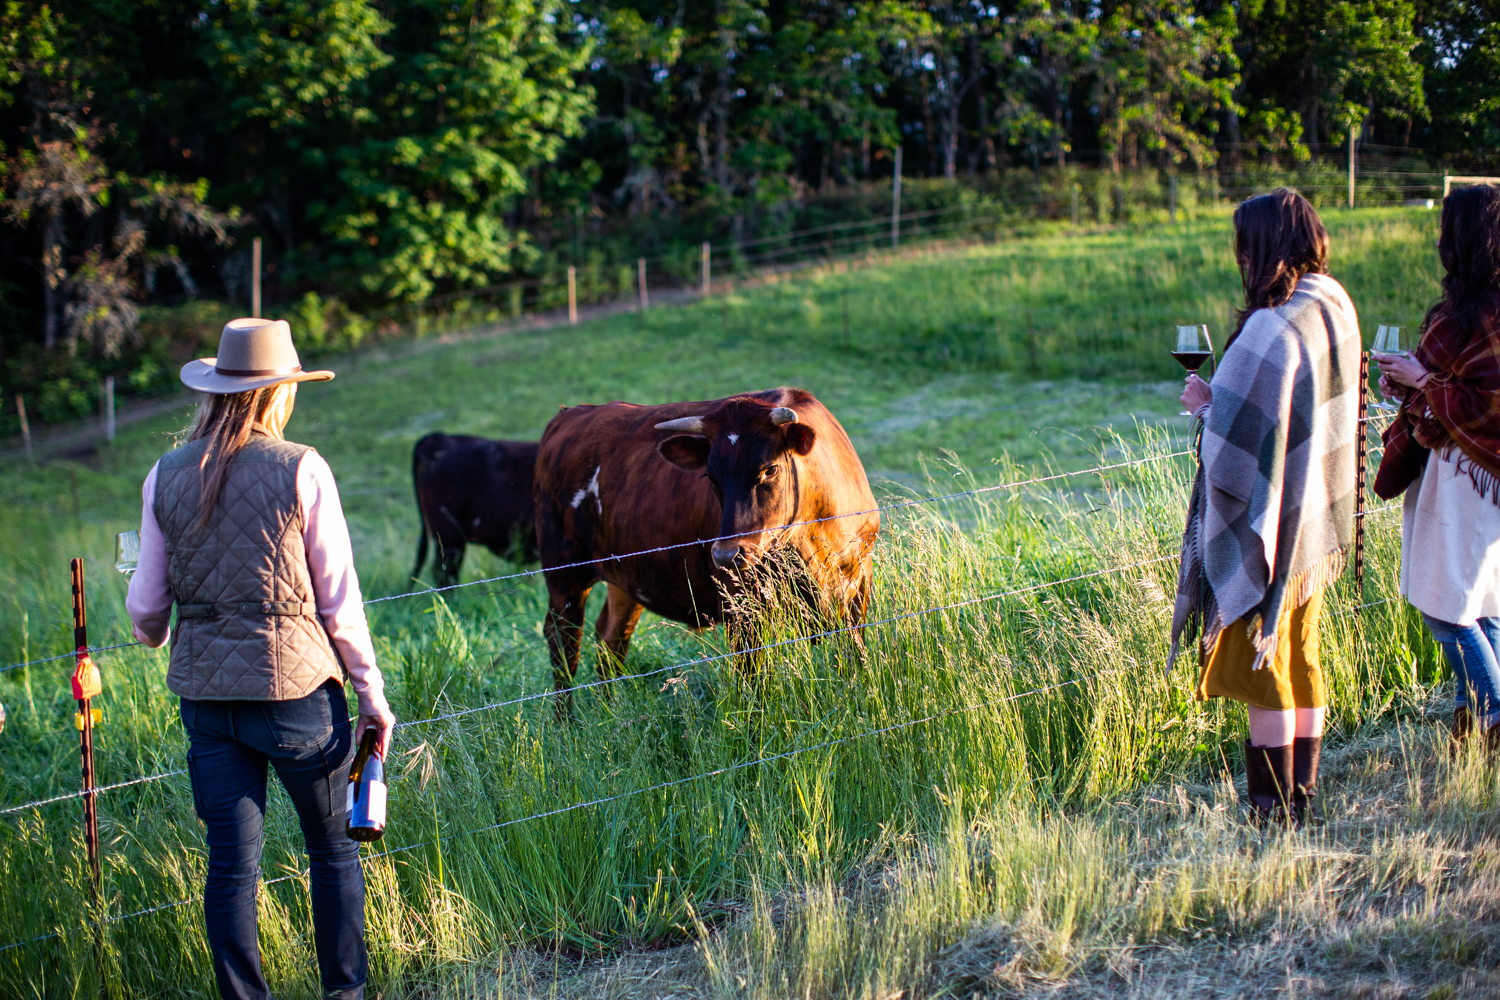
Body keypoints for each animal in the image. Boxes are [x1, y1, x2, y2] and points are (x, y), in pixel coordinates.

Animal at [534, 386, 876, 707]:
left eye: (770, 469)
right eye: (711, 477)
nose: (726, 554)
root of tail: (572, 413)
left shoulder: (857, 587)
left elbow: (857, 660)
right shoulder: (743, 608)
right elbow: (754, 684)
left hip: (625, 577)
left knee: (610, 639)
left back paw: (612, 710)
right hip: (563, 571)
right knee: (564, 642)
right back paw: (568, 723)